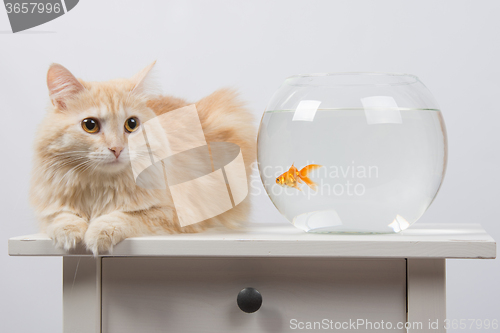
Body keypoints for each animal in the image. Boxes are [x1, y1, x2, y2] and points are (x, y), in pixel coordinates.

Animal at [29, 62, 256, 254]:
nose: (117, 149)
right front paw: (69, 235)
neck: (101, 187)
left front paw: (98, 233)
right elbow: (62, 218)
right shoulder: (49, 209)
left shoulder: (174, 213)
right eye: (90, 125)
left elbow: (124, 217)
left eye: (131, 124)